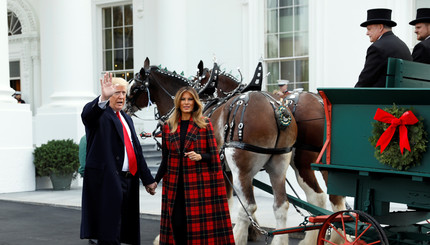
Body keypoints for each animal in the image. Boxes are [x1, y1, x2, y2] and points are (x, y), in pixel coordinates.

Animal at [126, 58, 298, 244]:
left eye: (134, 88)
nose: (125, 106)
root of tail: (275, 108)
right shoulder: (224, 169)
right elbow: (226, 201)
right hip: (278, 164)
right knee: (281, 206)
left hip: (241, 168)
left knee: (248, 206)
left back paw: (238, 237)